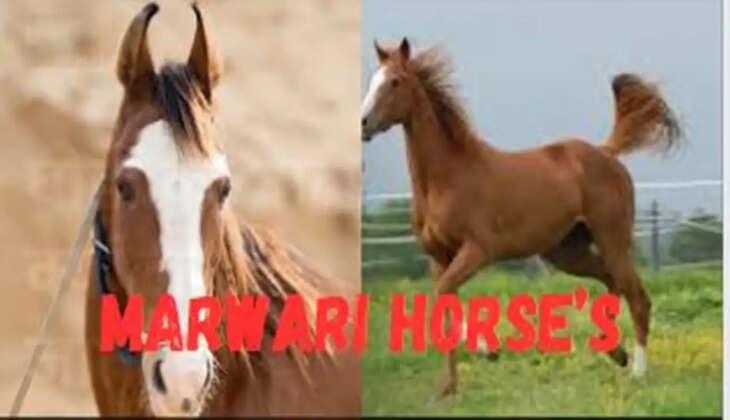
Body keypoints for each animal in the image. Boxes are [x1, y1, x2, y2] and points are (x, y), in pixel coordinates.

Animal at [361, 38, 682, 398]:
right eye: (373, 80)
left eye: (395, 82)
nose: (364, 124)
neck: (445, 180)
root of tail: (606, 152)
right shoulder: (438, 257)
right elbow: (446, 304)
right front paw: (448, 389)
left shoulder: (478, 250)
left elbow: (444, 293)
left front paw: (489, 349)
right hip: (566, 252)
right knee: (611, 280)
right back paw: (615, 351)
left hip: (613, 239)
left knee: (638, 297)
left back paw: (637, 371)